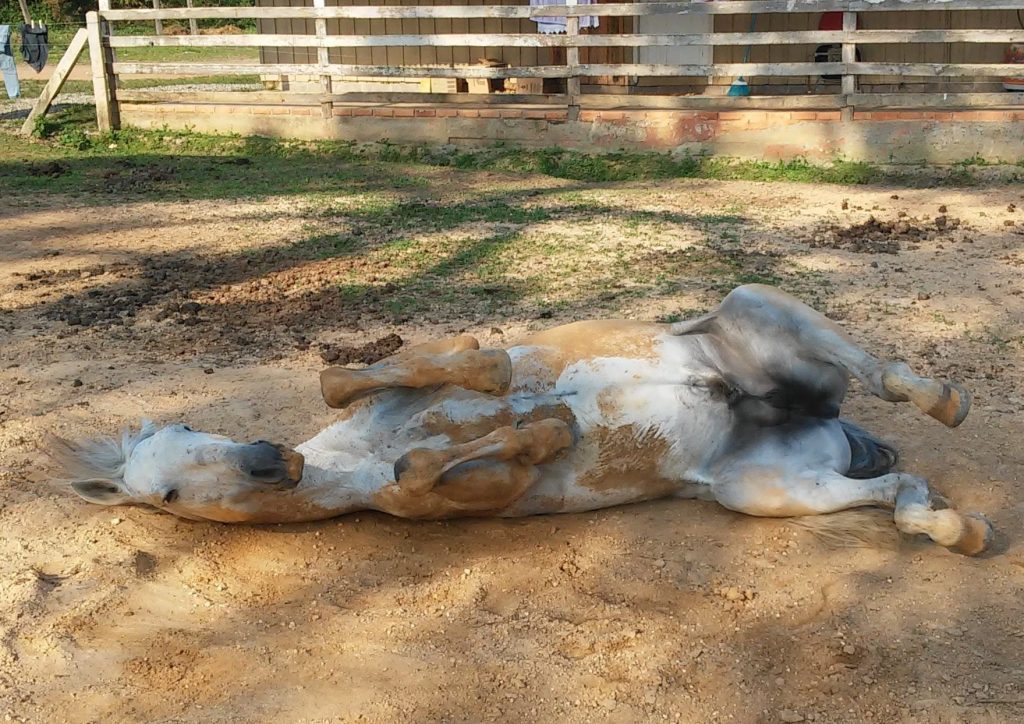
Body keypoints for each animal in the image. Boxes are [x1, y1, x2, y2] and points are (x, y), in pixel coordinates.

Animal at [50, 284, 993, 556]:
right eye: (168, 496)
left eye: (184, 433)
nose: (267, 463)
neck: (354, 459)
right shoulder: (469, 493)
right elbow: (423, 472)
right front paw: (551, 431)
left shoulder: (400, 379)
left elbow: (344, 376)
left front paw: (506, 381)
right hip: (756, 489)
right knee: (899, 489)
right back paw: (956, 527)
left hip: (753, 306)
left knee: (887, 376)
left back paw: (946, 401)